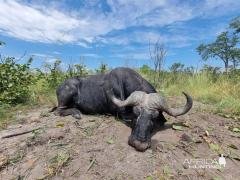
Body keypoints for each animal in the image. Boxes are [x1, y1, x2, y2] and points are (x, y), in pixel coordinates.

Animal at [53, 67, 193, 150]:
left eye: (154, 117)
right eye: (136, 114)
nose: (139, 143)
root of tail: (60, 86)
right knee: (58, 111)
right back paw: (77, 113)